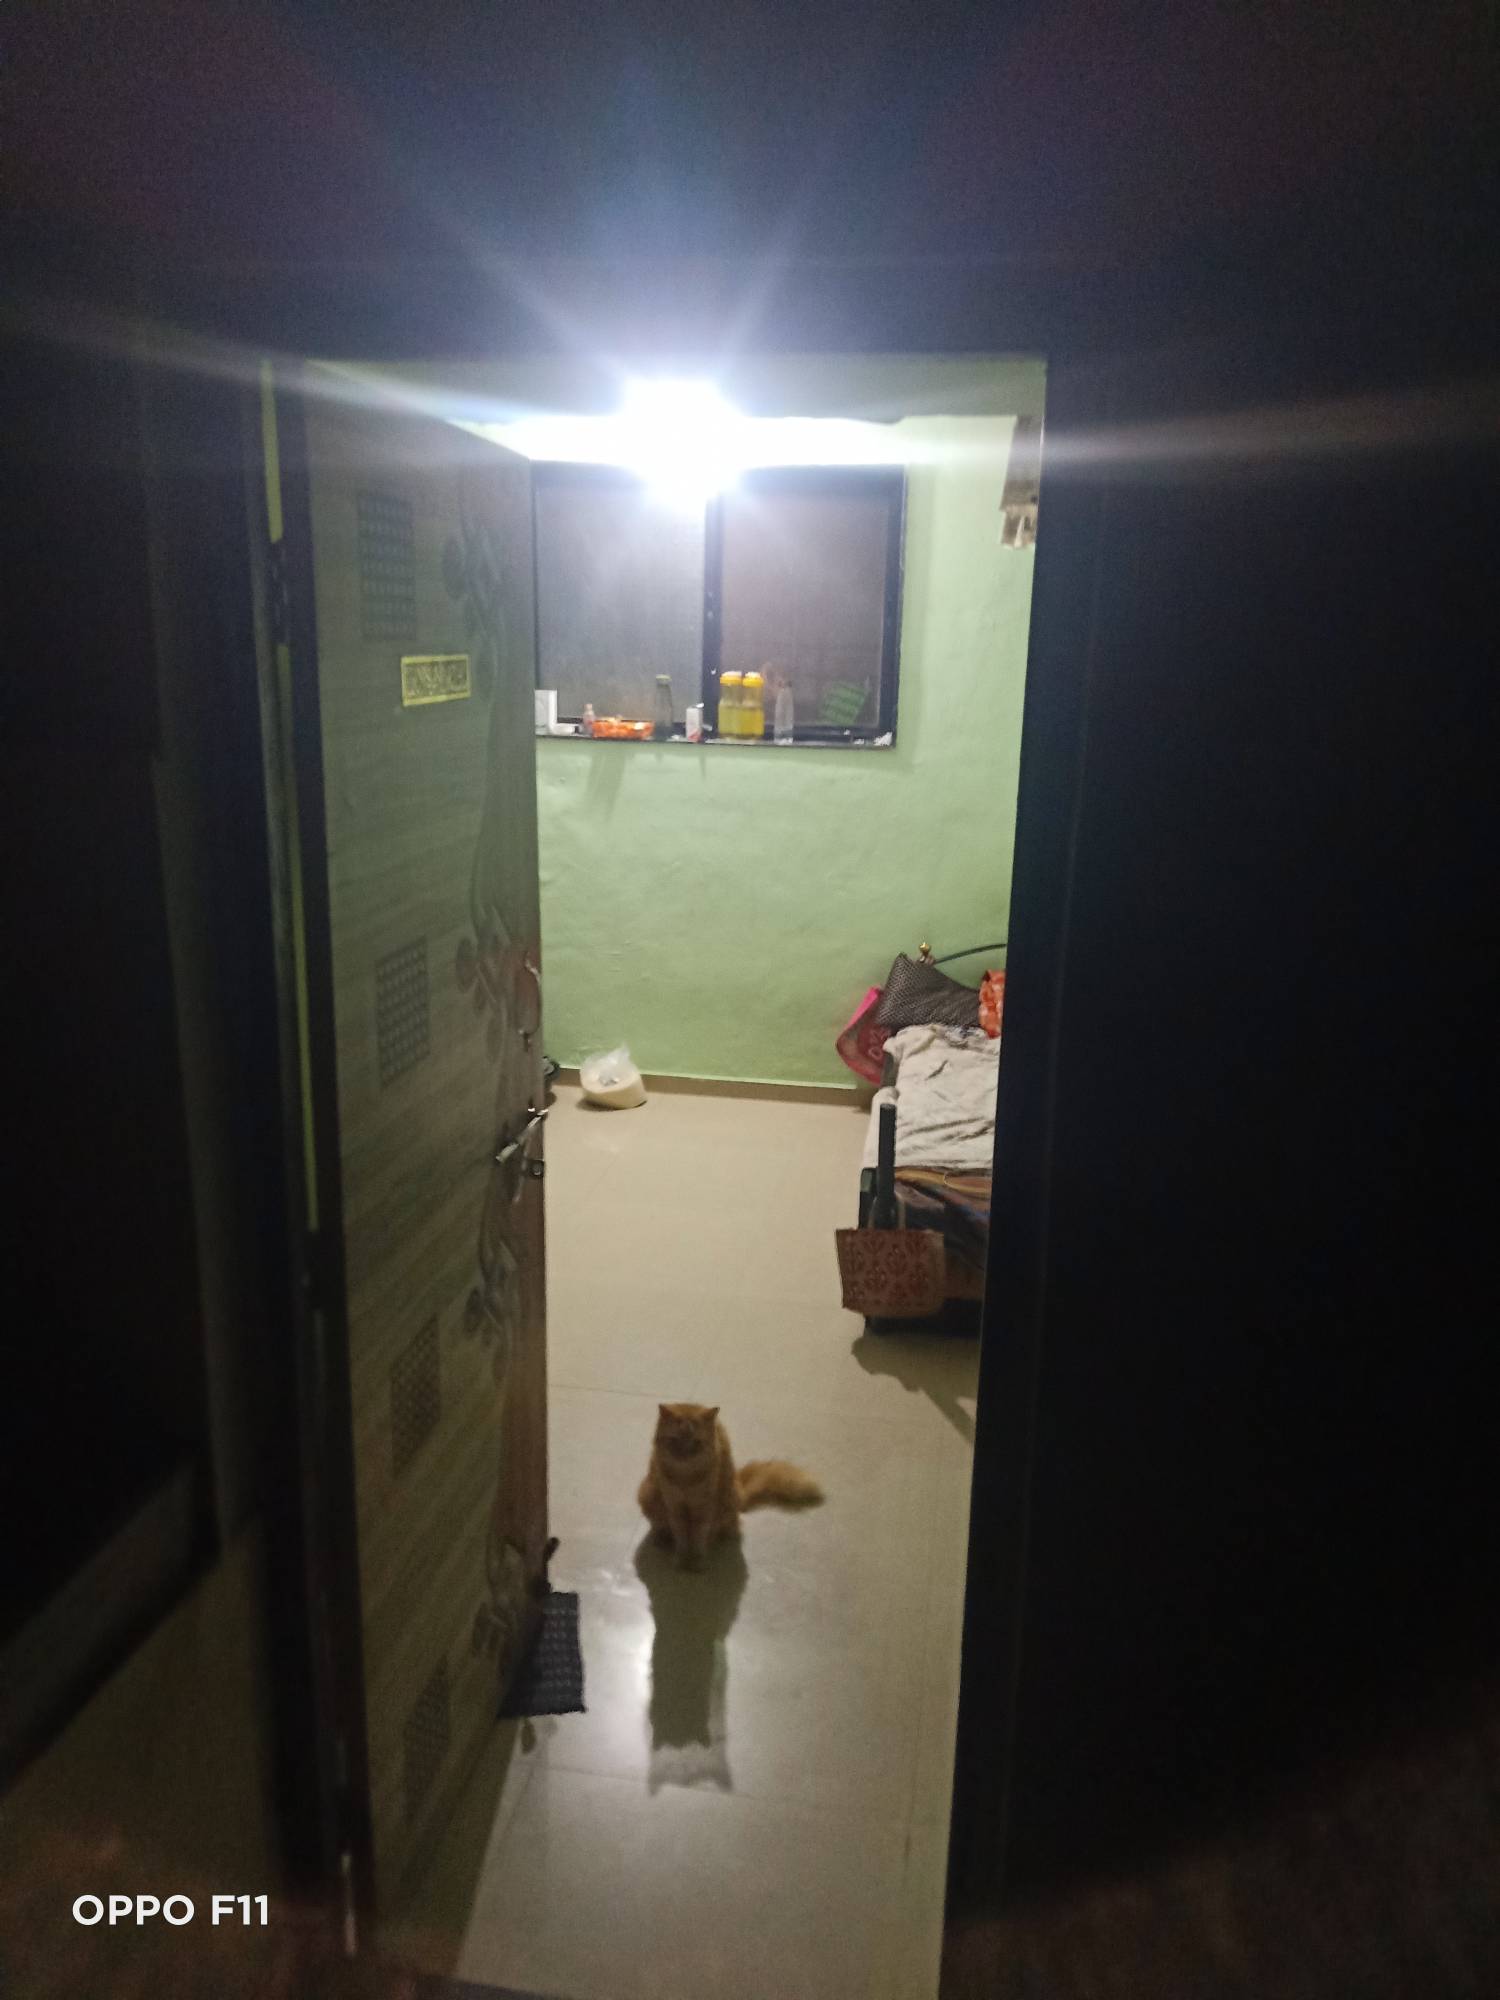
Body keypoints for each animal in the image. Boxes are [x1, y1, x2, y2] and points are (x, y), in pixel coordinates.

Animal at [638, 1403, 822, 1567]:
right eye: (674, 1440)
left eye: (697, 1443)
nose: (683, 1455)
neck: (685, 1479)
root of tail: (740, 1487)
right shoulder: (675, 1506)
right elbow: (681, 1537)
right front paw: (682, 1559)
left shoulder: (704, 1509)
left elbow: (699, 1538)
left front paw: (697, 1561)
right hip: (647, 1495)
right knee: (660, 1526)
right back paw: (660, 1538)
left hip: (727, 1503)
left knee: (726, 1528)